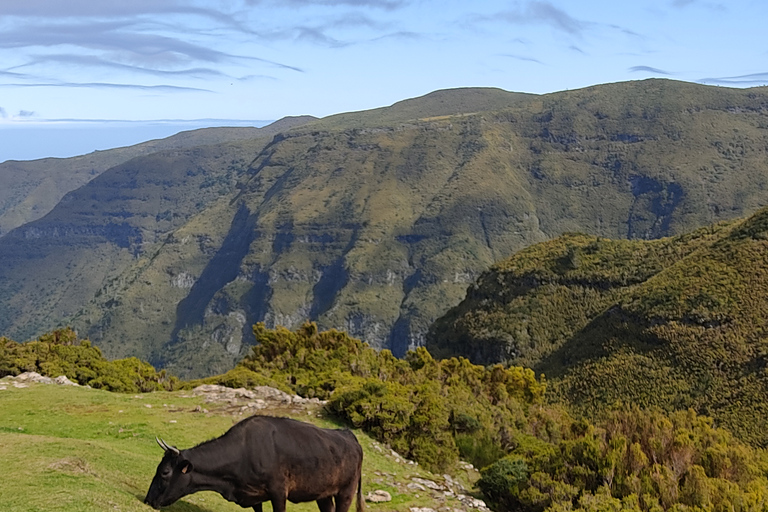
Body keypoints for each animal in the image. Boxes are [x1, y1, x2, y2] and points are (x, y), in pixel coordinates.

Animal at [145, 416, 366, 512]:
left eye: (165, 472)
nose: (147, 500)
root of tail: (349, 434)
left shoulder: (278, 492)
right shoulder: (253, 494)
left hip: (346, 491)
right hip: (324, 494)